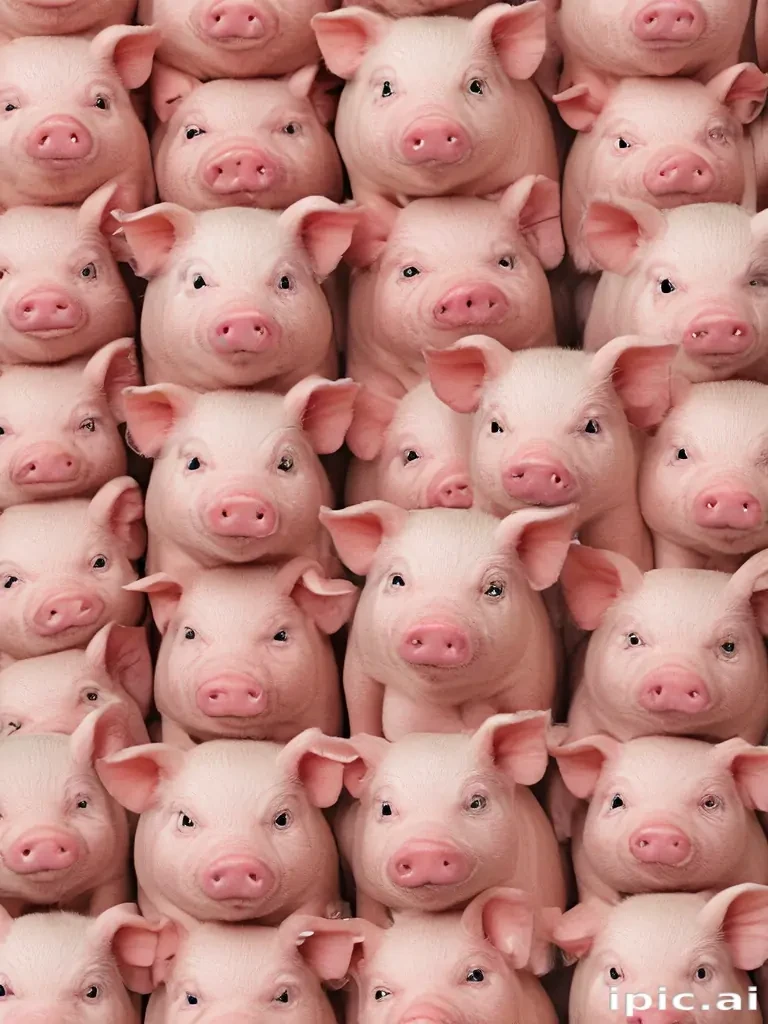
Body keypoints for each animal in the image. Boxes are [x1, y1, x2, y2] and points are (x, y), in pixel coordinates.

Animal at [321, 501, 575, 738]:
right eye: (397, 580)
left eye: (494, 589)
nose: (436, 627)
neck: (441, 696)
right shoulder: (360, 659)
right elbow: (361, 707)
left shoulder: (534, 675)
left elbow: (529, 708)